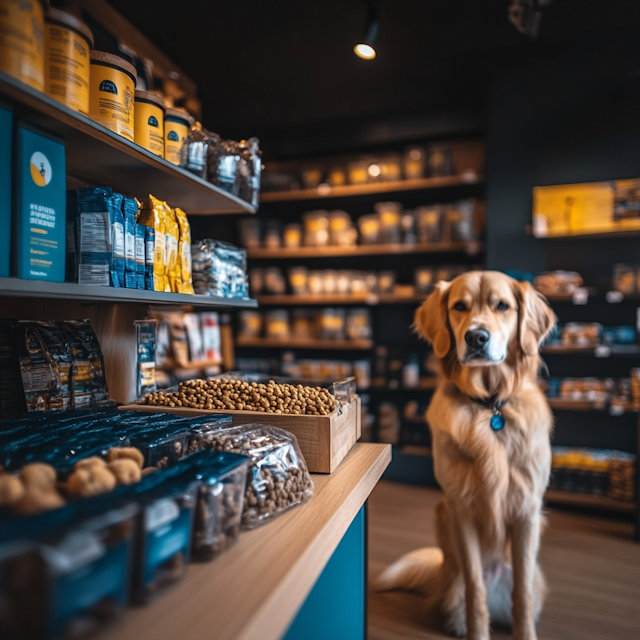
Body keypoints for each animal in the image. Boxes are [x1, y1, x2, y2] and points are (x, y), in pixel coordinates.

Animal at [376, 272, 556, 640]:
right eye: (459, 306)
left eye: (502, 305)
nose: (475, 337)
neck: (490, 406)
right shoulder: (460, 509)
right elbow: (475, 589)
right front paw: (477, 630)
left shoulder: (527, 510)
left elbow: (522, 594)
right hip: (451, 562)